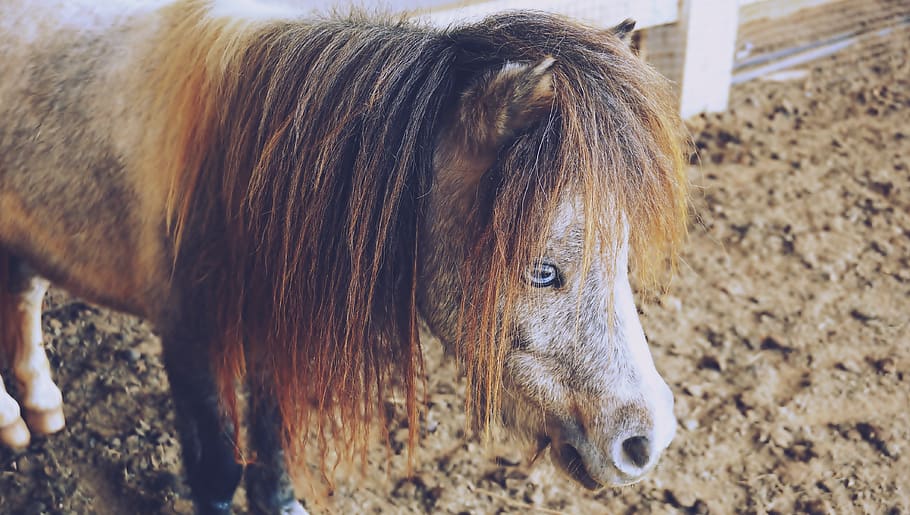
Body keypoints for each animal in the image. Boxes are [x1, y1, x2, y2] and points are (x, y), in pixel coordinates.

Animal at [0, 1, 688, 513]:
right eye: (543, 270)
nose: (645, 441)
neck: (235, 171)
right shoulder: (189, 343)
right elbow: (219, 470)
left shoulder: (271, 330)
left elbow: (274, 444)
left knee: (23, 291)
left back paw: (38, 404)